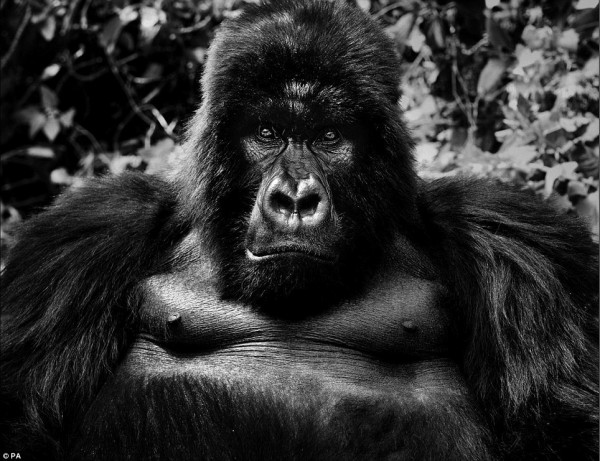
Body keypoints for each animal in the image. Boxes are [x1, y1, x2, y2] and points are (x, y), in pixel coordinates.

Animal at [2, 0, 596, 460]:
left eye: (329, 136)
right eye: (268, 132)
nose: (294, 199)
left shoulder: (509, 239)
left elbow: (565, 424)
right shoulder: (89, 237)